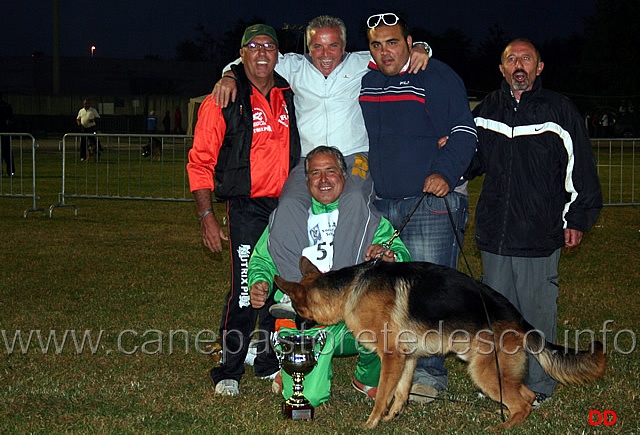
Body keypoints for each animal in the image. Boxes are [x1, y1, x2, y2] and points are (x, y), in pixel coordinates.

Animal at [274, 258, 604, 430]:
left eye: (297, 309)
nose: (291, 331)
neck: (351, 288)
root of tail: (519, 319)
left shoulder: (391, 356)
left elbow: (383, 394)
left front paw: (371, 423)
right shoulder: (407, 358)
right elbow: (401, 392)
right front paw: (393, 417)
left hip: (485, 372)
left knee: (522, 402)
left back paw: (503, 427)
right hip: (499, 371)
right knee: (528, 394)